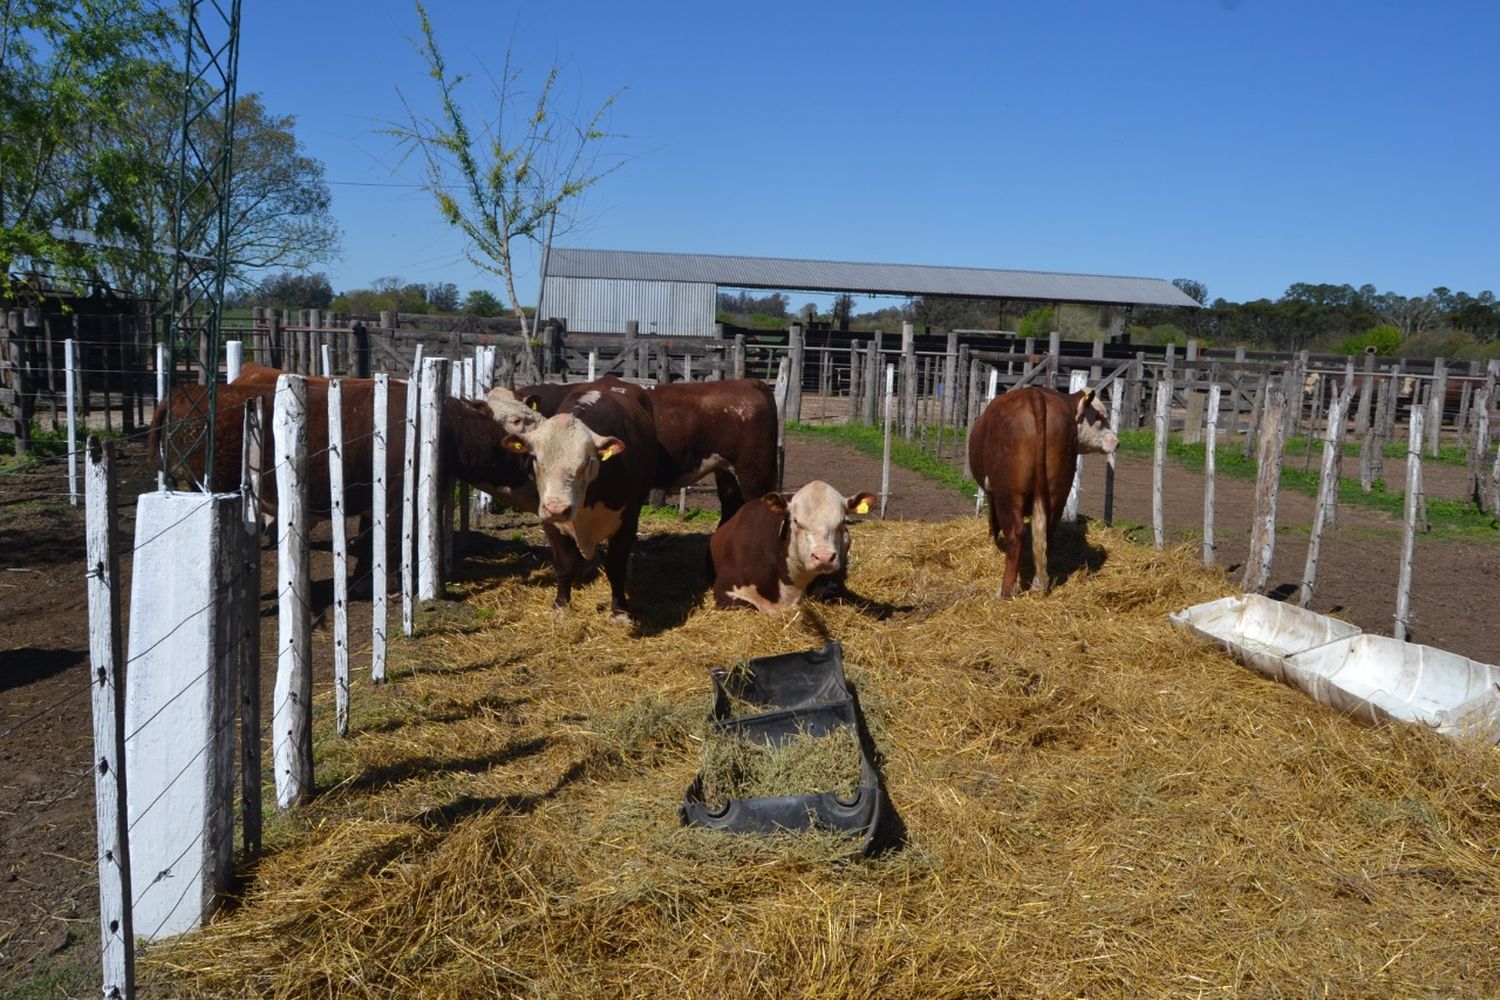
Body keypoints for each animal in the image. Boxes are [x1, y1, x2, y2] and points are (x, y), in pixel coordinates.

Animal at [498, 380, 657, 617]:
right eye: (535, 458)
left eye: (586, 462)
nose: (557, 509)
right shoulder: (549, 521)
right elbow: (565, 563)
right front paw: (561, 605)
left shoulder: (627, 520)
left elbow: (616, 564)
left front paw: (619, 610)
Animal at [966, 386, 1122, 599]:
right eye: (1099, 417)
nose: (1117, 442)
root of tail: (1035, 396)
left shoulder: (992, 492)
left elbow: (993, 520)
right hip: (1057, 491)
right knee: (1046, 532)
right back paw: (1039, 583)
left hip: (1009, 495)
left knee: (1016, 534)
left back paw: (1005, 591)